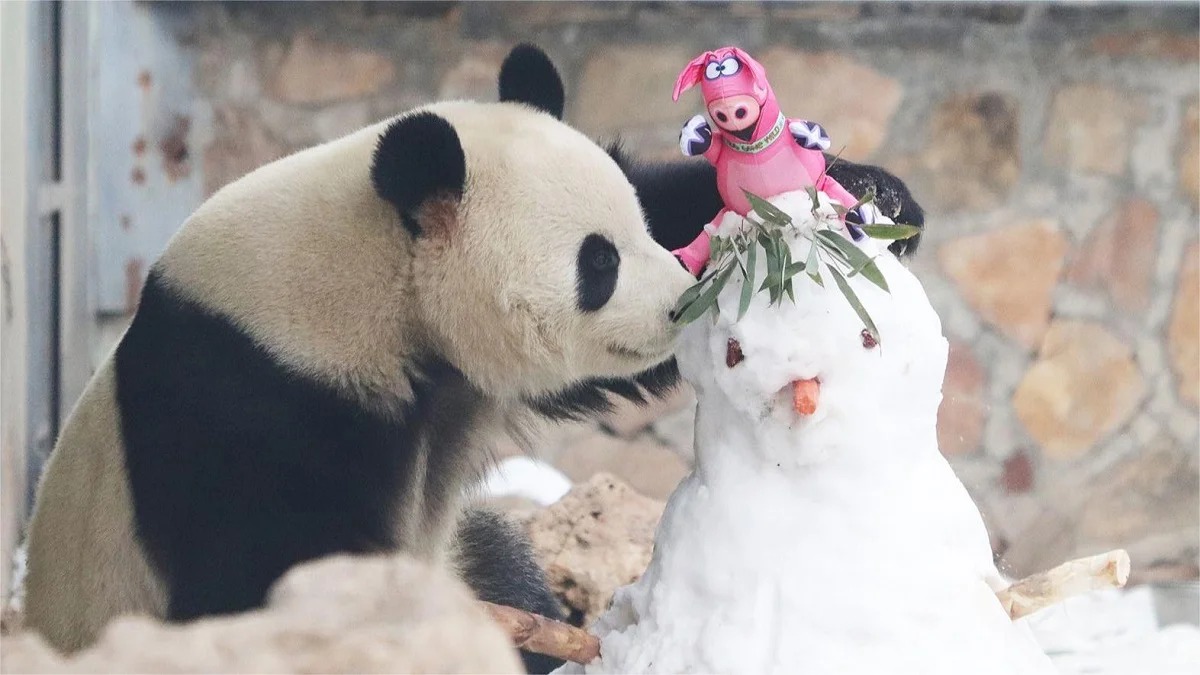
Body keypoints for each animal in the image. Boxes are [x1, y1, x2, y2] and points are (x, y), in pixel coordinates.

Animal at [21, 44, 925, 673]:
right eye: (597, 263)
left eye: (636, 231)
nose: (682, 301)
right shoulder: (253, 395)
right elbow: (267, 579)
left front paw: (873, 195)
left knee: (498, 560)